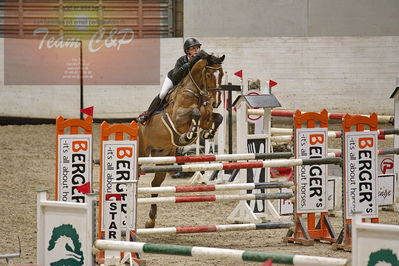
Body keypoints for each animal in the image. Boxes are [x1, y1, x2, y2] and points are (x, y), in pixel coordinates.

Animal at [138, 52, 225, 229]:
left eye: (221, 74)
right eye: (208, 74)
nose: (217, 102)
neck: (197, 93)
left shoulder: (207, 118)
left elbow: (218, 117)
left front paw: (207, 134)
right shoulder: (178, 117)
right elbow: (195, 112)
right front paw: (188, 135)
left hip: (163, 157)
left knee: (155, 184)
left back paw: (151, 220)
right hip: (141, 152)